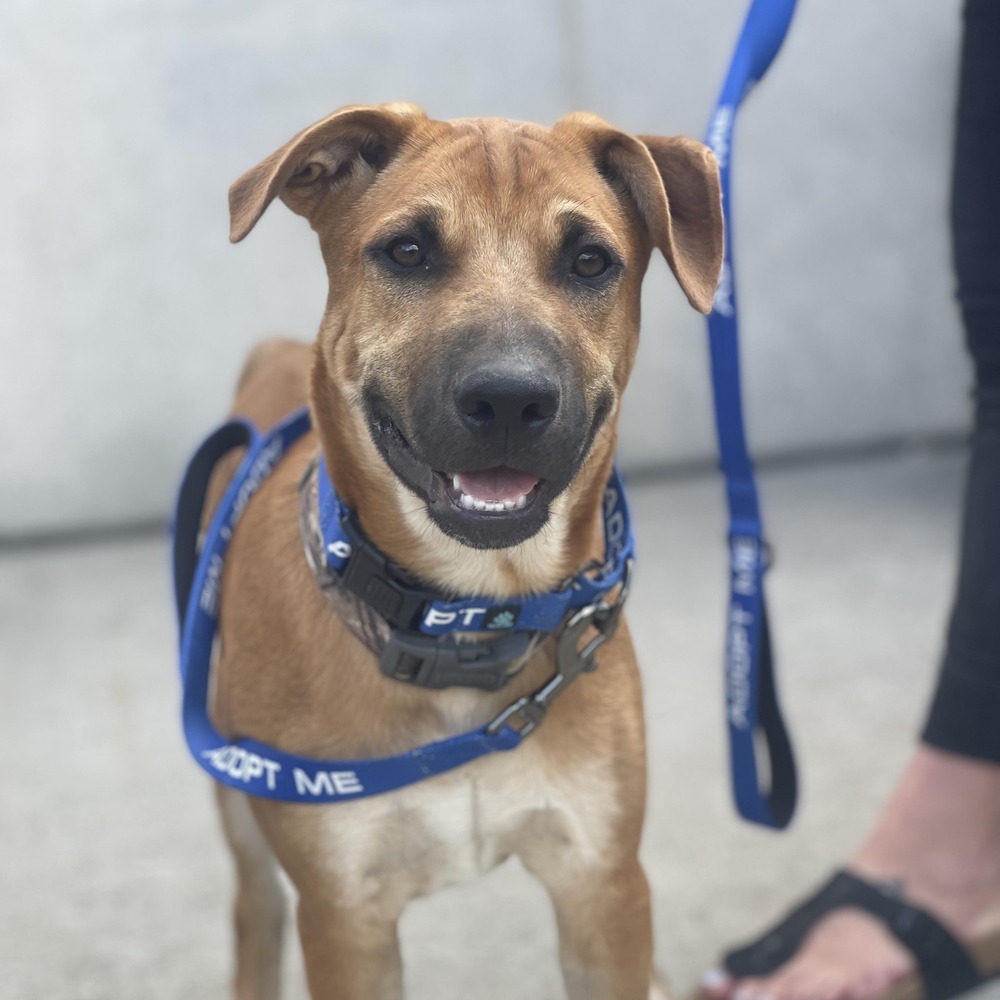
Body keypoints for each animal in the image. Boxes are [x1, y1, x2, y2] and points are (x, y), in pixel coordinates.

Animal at [205, 103, 720, 1000]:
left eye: (590, 261)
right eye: (408, 251)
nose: (510, 399)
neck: (467, 620)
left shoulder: (603, 885)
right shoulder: (344, 918)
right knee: (254, 915)